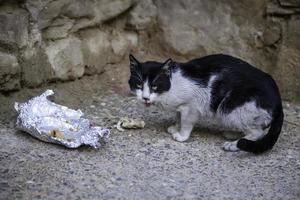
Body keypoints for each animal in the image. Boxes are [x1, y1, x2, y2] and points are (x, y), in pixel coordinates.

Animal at [128, 54, 284, 154]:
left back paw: (233, 145)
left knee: (257, 132)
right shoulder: (180, 107)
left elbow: (186, 123)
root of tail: (278, 98)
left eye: (154, 86)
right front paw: (175, 127)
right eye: (139, 85)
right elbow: (178, 117)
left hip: (229, 109)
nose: (145, 98)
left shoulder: (191, 106)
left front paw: (181, 136)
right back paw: (232, 134)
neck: (172, 85)